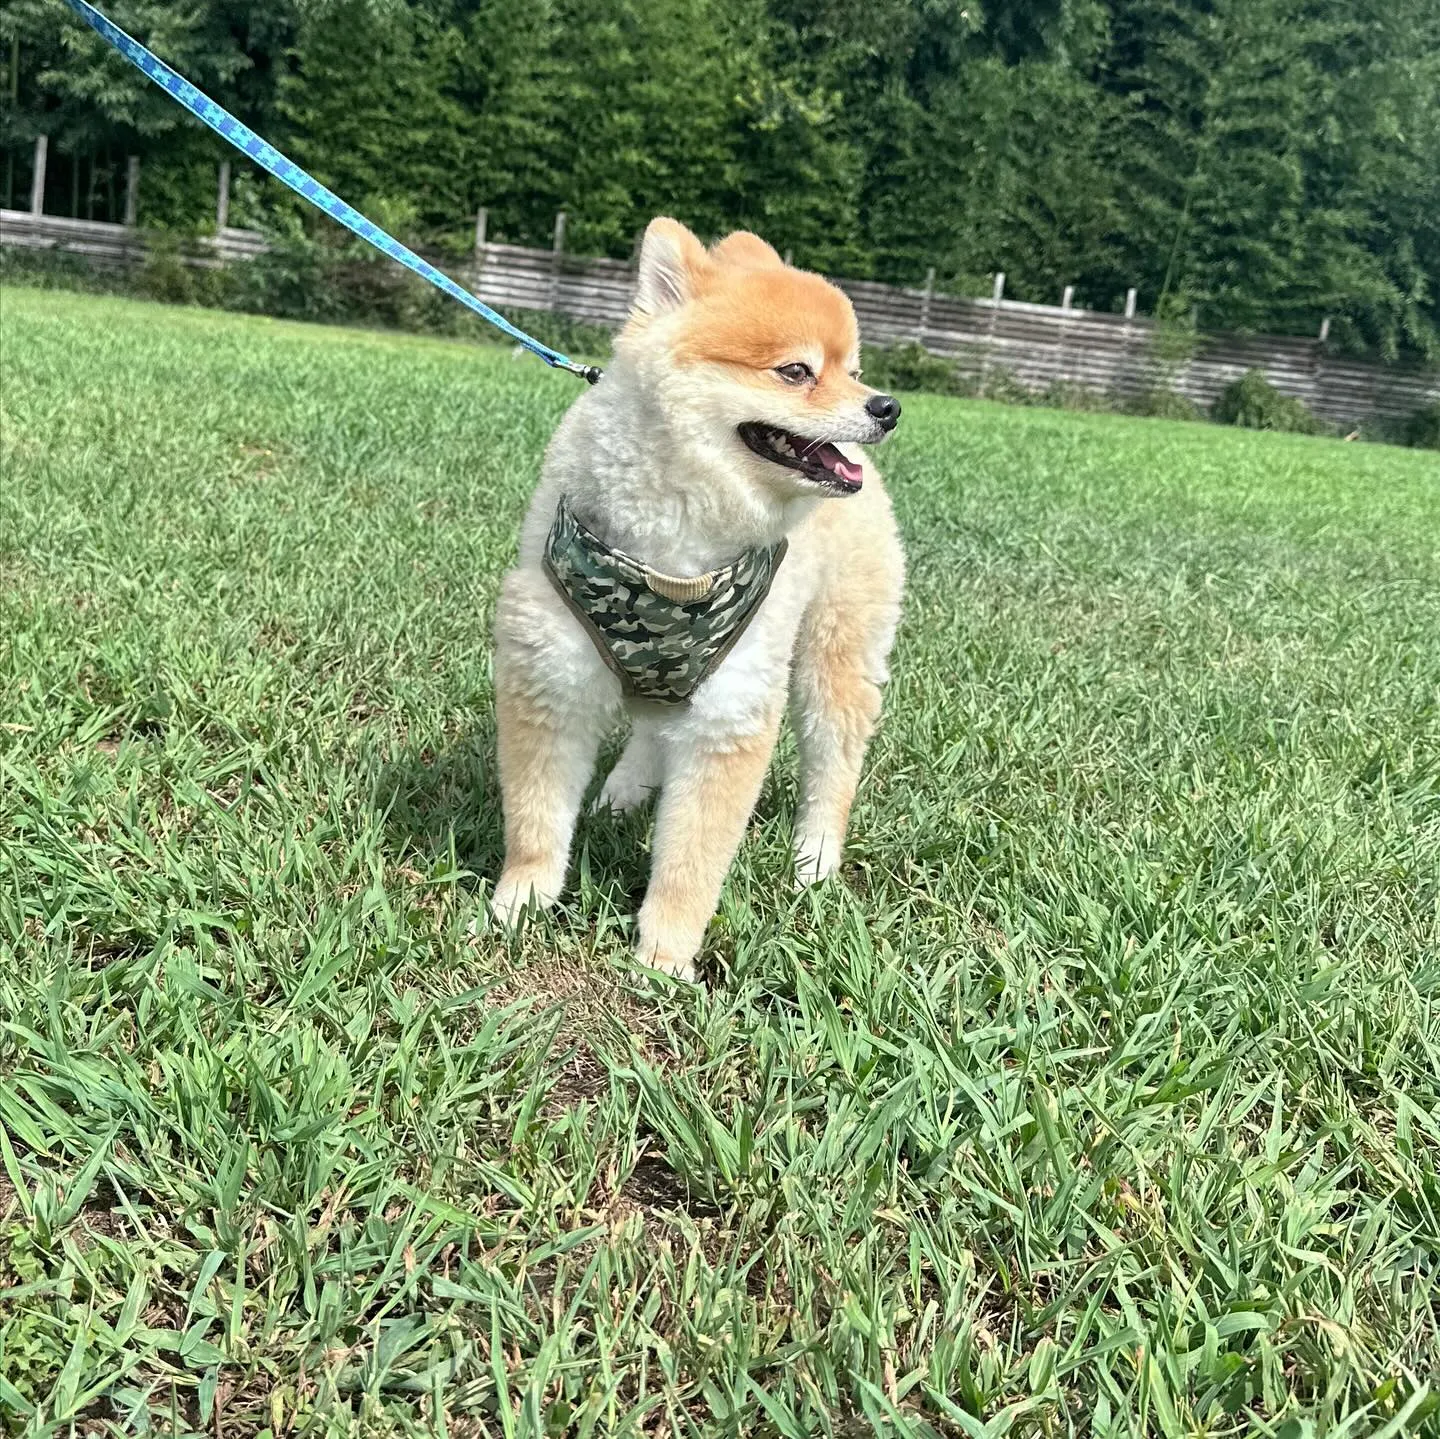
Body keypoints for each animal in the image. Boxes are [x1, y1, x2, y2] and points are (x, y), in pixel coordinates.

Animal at [489, 216, 904, 979]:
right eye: (797, 371)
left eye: (854, 370)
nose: (886, 406)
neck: (675, 544)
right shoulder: (552, 675)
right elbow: (536, 818)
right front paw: (519, 906)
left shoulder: (730, 710)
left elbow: (691, 860)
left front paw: (664, 959)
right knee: (655, 725)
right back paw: (624, 791)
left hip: (835, 652)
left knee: (834, 759)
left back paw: (815, 859)